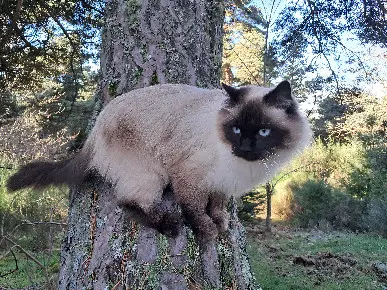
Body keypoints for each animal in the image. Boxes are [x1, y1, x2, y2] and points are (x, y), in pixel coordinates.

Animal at [6, 80, 312, 239]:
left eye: (263, 132)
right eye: (236, 129)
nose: (245, 147)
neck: (239, 165)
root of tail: (94, 131)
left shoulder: (221, 182)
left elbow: (218, 206)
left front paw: (222, 224)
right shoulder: (189, 176)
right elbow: (197, 210)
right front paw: (209, 232)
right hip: (152, 174)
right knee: (128, 202)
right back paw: (171, 226)